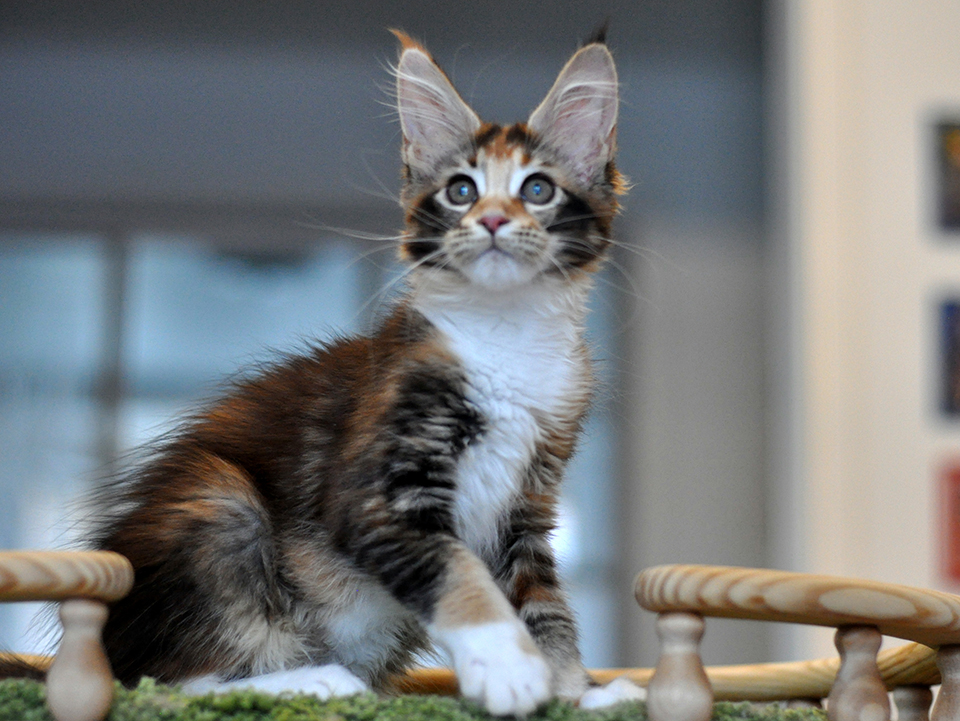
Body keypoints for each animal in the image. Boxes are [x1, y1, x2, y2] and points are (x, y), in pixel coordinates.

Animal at [88, 32, 636, 716]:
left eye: (538, 190)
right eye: (461, 191)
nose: (490, 220)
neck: (506, 337)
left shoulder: (527, 504)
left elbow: (546, 607)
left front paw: (573, 692)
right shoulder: (374, 487)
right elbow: (455, 571)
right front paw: (511, 670)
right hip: (220, 506)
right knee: (167, 681)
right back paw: (313, 679)